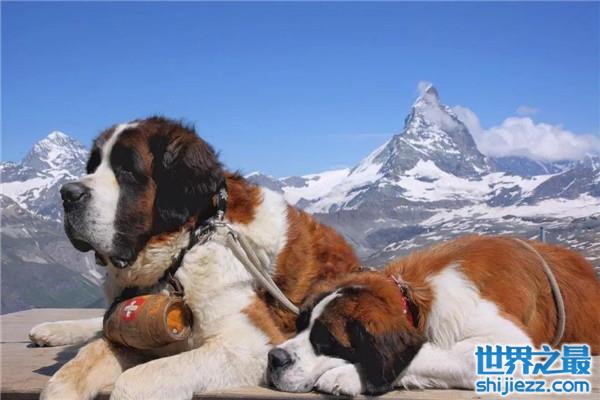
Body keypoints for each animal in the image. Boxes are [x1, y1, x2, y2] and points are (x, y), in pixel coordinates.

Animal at [28, 116, 361, 399]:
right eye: (93, 166)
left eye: (126, 171)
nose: (67, 194)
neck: (187, 246)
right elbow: (73, 370)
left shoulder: (252, 343)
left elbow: (135, 379)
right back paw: (52, 330)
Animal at [267, 235, 600, 396]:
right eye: (300, 325)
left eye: (326, 341)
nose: (274, 358)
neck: (413, 297)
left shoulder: (509, 342)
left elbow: (425, 353)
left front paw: (347, 374)